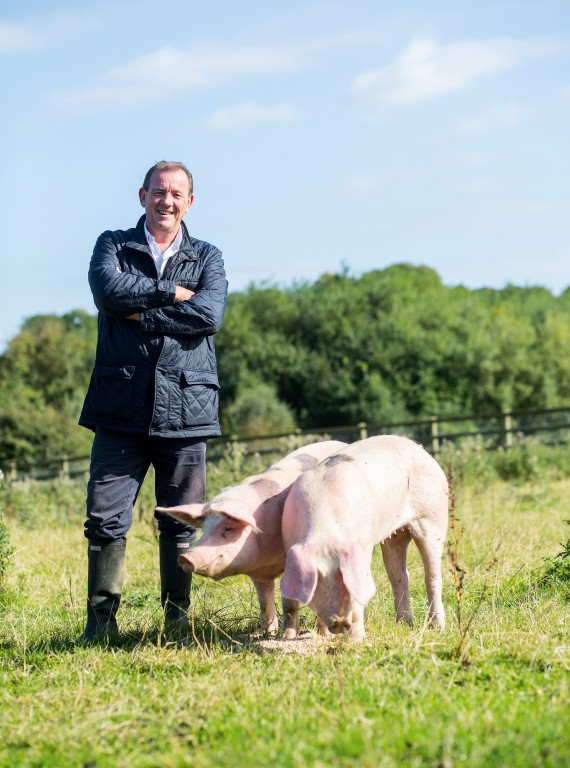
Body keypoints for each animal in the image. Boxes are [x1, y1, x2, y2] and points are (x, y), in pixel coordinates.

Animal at [156, 440, 346, 635]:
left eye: (229, 527)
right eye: (204, 529)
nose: (186, 557)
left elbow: (289, 601)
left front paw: (288, 636)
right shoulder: (259, 573)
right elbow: (264, 601)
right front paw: (266, 634)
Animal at [280, 435, 448, 642]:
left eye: (345, 580)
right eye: (317, 582)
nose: (340, 622)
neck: (324, 530)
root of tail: (421, 449)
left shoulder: (363, 545)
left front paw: (356, 640)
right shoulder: (288, 547)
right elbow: (289, 602)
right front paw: (289, 637)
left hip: (434, 516)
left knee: (432, 576)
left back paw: (438, 627)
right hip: (395, 535)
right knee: (400, 576)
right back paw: (404, 624)